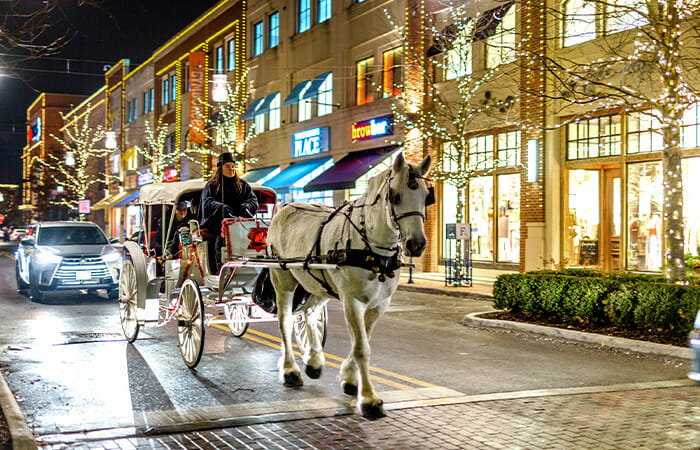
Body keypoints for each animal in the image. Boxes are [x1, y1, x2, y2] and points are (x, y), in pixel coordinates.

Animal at [268, 152, 432, 418]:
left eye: (427, 197)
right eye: (395, 196)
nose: (416, 244)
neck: (374, 250)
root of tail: (286, 207)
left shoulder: (379, 304)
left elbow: (364, 339)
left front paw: (350, 378)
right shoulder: (351, 300)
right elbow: (361, 347)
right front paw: (369, 399)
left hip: (319, 283)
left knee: (309, 313)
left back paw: (313, 361)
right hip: (282, 279)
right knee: (285, 321)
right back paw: (290, 370)